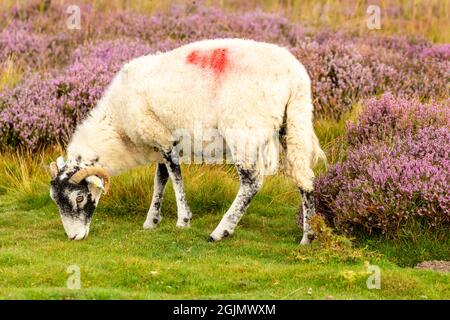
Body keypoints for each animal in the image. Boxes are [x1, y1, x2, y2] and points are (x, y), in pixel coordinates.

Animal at [48, 38, 324, 242]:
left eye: (79, 198)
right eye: (55, 199)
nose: (74, 237)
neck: (117, 125)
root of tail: (295, 77)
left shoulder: (162, 137)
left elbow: (175, 176)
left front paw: (183, 220)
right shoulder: (160, 143)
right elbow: (160, 179)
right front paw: (151, 221)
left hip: (244, 130)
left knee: (252, 182)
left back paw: (220, 231)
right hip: (294, 123)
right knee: (304, 178)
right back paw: (308, 236)